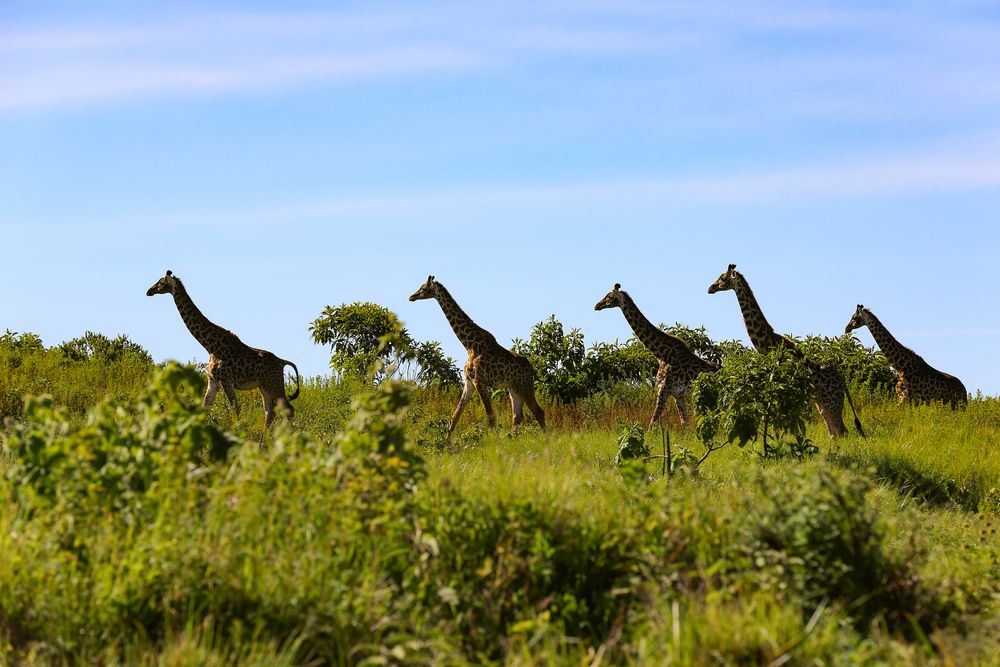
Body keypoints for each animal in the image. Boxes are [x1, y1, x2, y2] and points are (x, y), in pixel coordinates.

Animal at [145, 268, 298, 426]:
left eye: (161, 282)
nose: (149, 291)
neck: (210, 346)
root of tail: (282, 362)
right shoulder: (213, 381)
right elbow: (204, 408)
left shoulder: (226, 381)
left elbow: (235, 410)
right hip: (264, 386)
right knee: (270, 411)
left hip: (274, 384)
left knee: (288, 409)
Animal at [408, 276, 548, 438]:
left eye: (423, 288)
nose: (411, 297)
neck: (468, 343)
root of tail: (532, 369)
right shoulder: (468, 381)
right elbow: (456, 414)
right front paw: (446, 441)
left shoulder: (479, 380)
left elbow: (490, 416)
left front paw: (494, 441)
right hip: (513, 387)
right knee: (517, 416)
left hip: (524, 385)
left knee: (538, 411)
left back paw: (546, 438)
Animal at [592, 280, 720, 428]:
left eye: (609, 297)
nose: (596, 305)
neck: (661, 355)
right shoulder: (678, 395)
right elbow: (684, 423)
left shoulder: (663, 390)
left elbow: (652, 422)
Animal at [708, 264, 864, 440]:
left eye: (722, 278)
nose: (710, 288)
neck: (767, 344)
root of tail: (842, 381)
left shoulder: (782, 393)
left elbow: (780, 428)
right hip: (821, 403)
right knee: (834, 432)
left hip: (832, 401)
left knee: (842, 431)